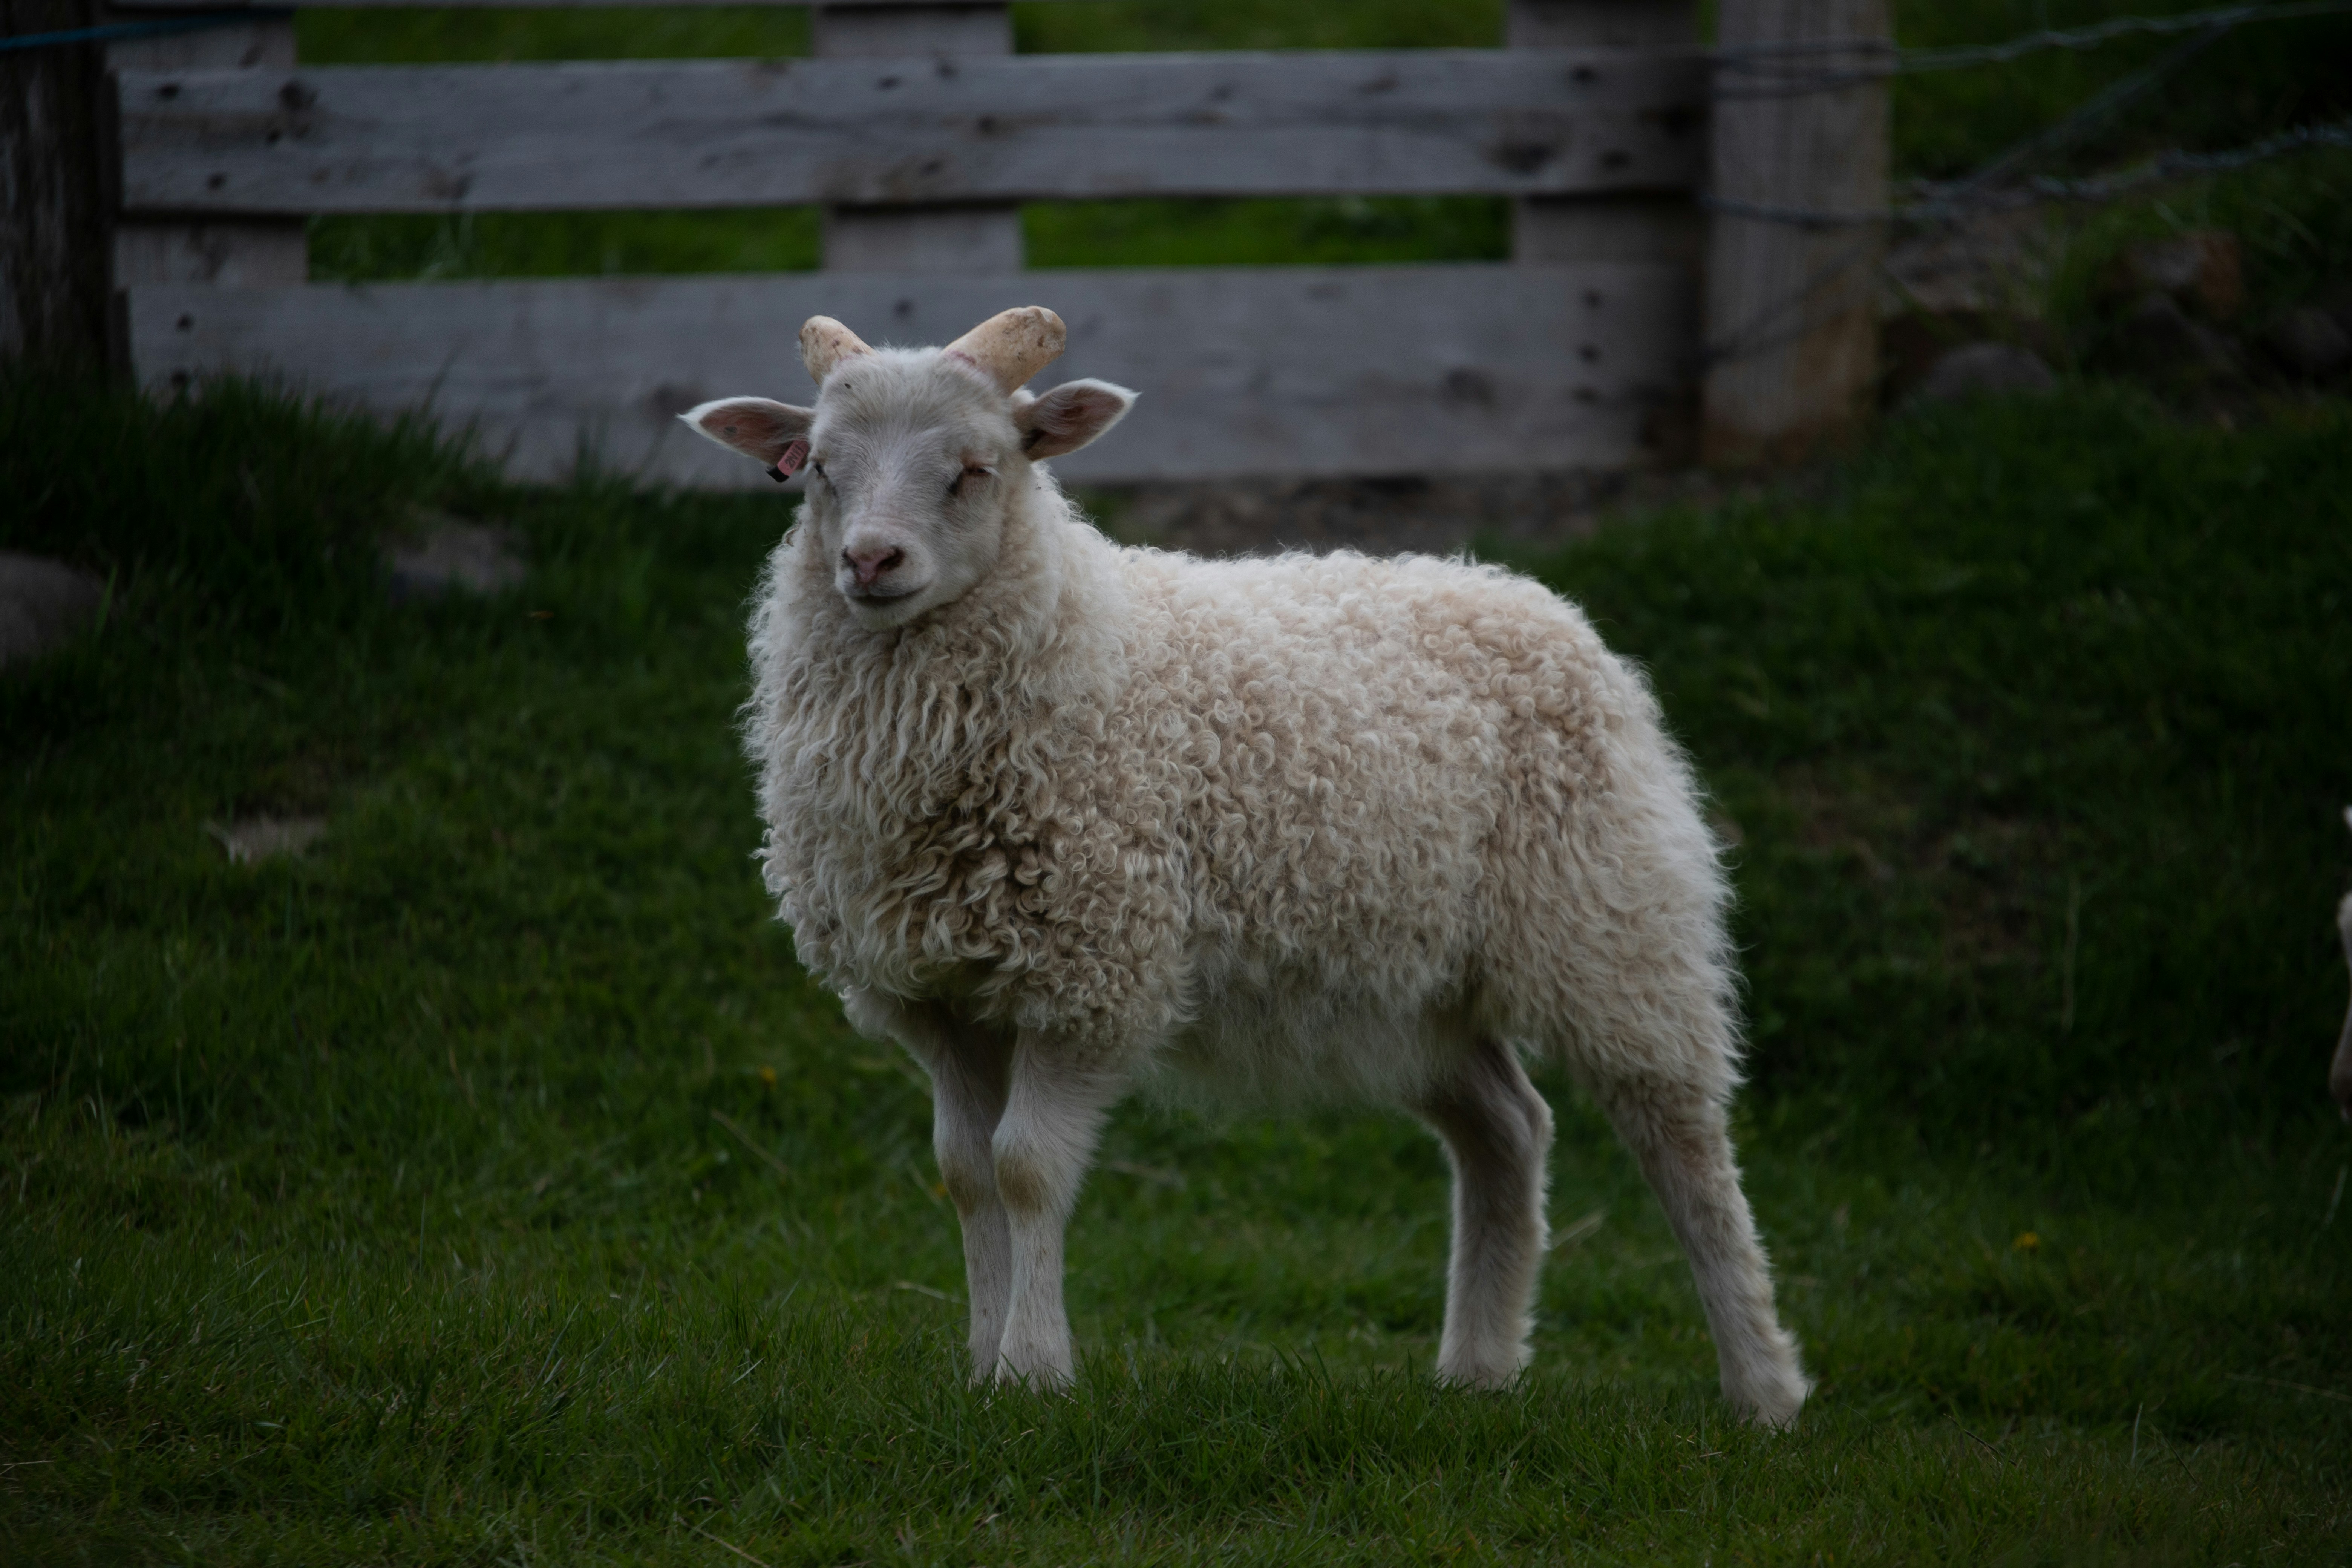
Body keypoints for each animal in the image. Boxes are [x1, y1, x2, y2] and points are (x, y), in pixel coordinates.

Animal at [679, 307, 1812, 1426]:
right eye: (819, 470)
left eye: (974, 468)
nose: (870, 562)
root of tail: (1532, 600)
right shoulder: (943, 995)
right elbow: (965, 1176)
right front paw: (981, 1365)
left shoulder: (1089, 970)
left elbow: (1026, 1170)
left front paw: (1033, 1370)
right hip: (1413, 987)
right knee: (1506, 1129)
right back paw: (1478, 1369)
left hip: (1611, 922)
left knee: (1683, 1144)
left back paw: (1762, 1386)